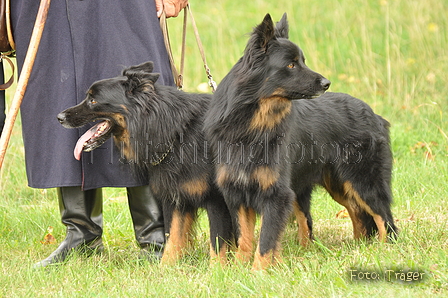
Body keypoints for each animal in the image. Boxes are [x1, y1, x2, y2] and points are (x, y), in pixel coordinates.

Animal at [57, 61, 234, 266]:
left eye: (93, 100)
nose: (59, 117)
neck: (177, 133)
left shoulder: (217, 201)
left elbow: (217, 244)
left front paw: (217, 270)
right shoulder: (176, 199)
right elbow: (173, 238)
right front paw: (165, 269)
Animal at [203, 13, 396, 270]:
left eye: (302, 61)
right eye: (291, 65)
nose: (326, 83)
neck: (252, 124)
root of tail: (374, 115)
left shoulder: (276, 195)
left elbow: (266, 241)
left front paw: (258, 272)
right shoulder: (238, 193)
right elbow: (245, 239)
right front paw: (241, 269)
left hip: (363, 183)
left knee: (385, 219)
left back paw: (386, 250)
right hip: (339, 186)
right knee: (358, 215)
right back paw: (359, 247)